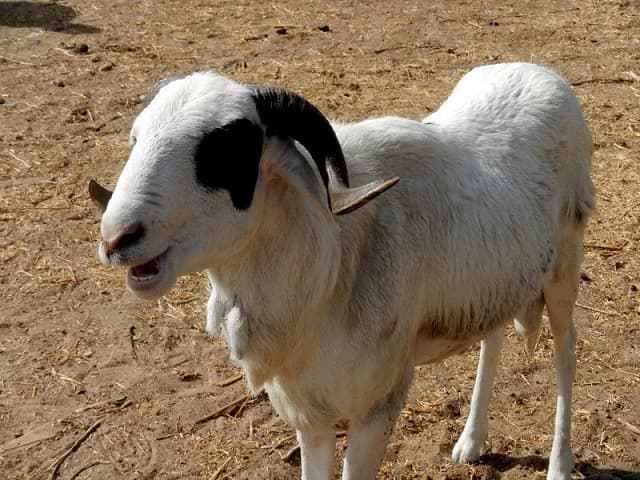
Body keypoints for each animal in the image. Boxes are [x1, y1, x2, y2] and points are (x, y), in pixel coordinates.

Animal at [90, 62, 594, 480]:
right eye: (135, 138)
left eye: (229, 149)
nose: (116, 239)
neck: (332, 262)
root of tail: (537, 71)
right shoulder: (309, 414)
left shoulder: (377, 407)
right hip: (500, 277)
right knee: (493, 340)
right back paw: (470, 443)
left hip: (565, 267)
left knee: (566, 354)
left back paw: (559, 465)